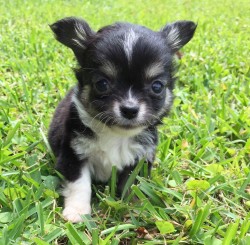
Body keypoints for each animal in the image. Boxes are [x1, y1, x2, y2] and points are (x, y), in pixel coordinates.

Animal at [48, 17, 196, 223]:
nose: (130, 109)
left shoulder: (140, 159)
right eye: (102, 84)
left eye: (157, 87)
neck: (116, 135)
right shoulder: (74, 154)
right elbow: (79, 184)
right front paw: (77, 212)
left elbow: (133, 186)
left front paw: (136, 208)